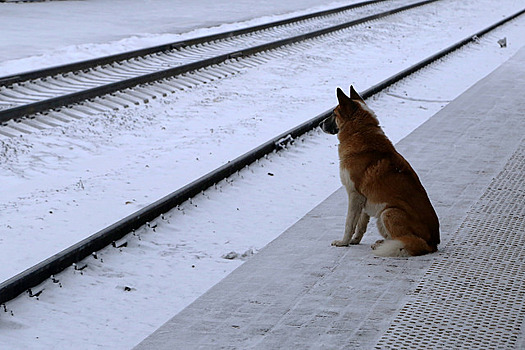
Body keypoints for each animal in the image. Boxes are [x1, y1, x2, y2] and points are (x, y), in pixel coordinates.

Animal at [320, 87, 438, 258]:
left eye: (334, 114)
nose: (319, 124)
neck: (359, 132)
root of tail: (432, 245)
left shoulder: (354, 195)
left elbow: (349, 223)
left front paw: (343, 242)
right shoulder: (363, 199)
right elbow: (360, 224)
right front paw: (355, 241)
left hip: (388, 212)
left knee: (407, 242)